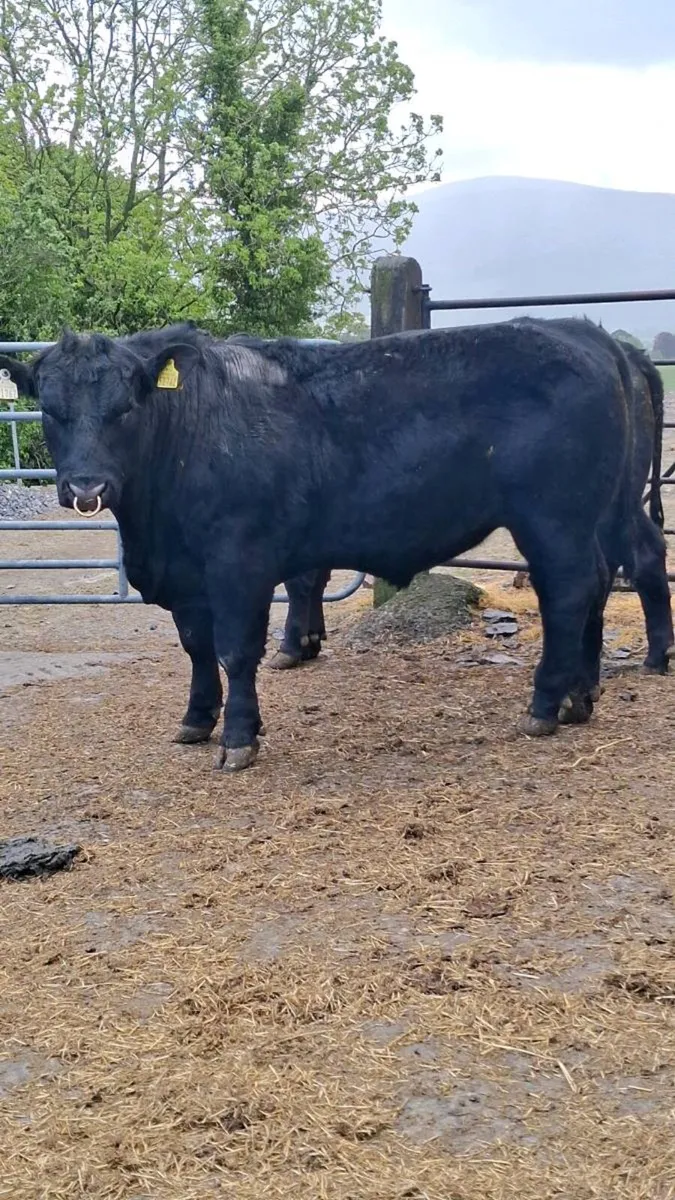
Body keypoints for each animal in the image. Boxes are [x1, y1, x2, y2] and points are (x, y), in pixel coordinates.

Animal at [0, 317, 634, 771]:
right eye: (51, 411)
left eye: (125, 408)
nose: (87, 487)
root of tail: (581, 331)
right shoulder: (188, 576)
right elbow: (197, 647)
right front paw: (196, 720)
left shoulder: (238, 563)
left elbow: (235, 651)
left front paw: (238, 738)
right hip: (583, 520)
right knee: (598, 584)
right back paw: (580, 697)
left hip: (553, 519)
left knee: (569, 593)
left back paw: (545, 706)